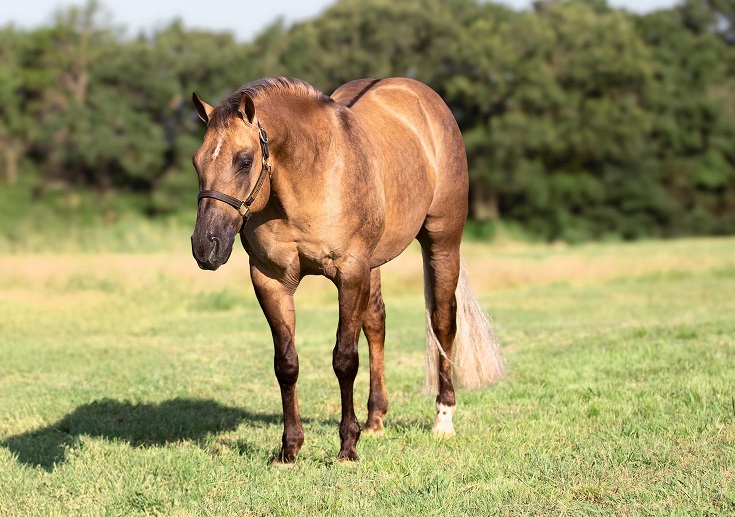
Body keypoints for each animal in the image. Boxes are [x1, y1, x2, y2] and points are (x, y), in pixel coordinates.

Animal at [190, 77, 504, 463]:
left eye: (244, 160)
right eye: (196, 162)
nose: (205, 246)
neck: (311, 176)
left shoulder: (350, 274)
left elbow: (344, 359)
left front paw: (347, 447)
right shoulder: (270, 280)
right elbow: (286, 363)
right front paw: (290, 449)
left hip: (442, 243)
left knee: (443, 322)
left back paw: (443, 420)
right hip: (374, 265)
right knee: (377, 323)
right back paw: (375, 419)